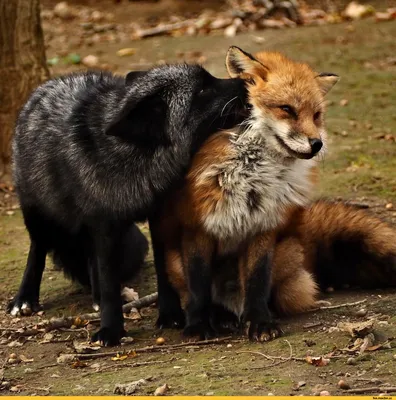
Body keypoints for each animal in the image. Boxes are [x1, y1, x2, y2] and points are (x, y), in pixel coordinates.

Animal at [9, 64, 246, 346]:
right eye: (202, 90)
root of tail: (48, 85)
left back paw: (96, 296)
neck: (135, 160)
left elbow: (162, 271)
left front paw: (170, 315)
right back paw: (25, 298)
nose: (246, 82)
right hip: (37, 215)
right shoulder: (104, 226)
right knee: (38, 250)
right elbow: (109, 282)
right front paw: (111, 330)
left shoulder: (158, 216)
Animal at [150, 45, 394, 340]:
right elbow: (199, 287)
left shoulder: (264, 225)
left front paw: (259, 322)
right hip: (174, 262)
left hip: (286, 254)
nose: (317, 144)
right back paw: (218, 317)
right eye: (287, 109)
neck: (251, 178)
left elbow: (257, 281)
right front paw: (197, 325)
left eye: (316, 115)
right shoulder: (198, 227)